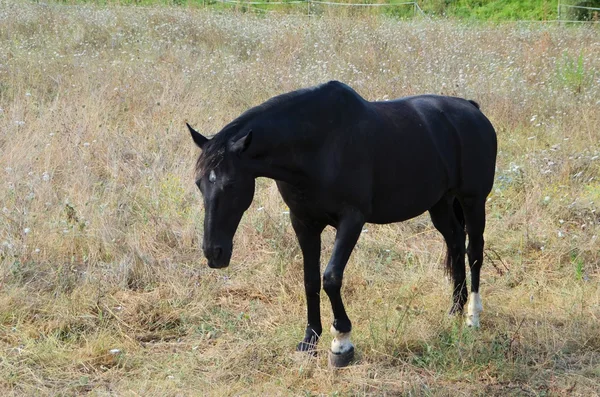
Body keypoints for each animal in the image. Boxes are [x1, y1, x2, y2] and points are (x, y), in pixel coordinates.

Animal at [188, 79, 496, 366]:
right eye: (199, 183)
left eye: (231, 185)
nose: (214, 253)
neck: (319, 146)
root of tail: (473, 109)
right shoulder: (304, 223)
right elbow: (310, 280)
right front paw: (309, 340)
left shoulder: (352, 220)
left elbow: (331, 278)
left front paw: (341, 343)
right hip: (441, 202)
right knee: (455, 242)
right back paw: (455, 310)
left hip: (472, 200)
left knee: (474, 251)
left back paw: (472, 316)